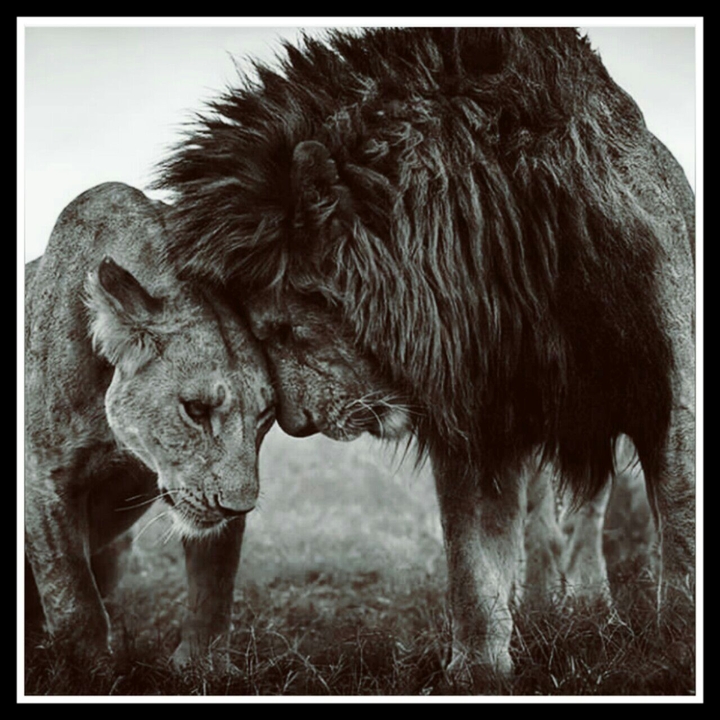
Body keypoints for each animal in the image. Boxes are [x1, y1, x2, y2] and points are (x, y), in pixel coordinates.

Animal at [25, 182, 276, 665]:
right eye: (195, 409)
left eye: (265, 415)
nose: (239, 507)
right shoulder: (44, 475)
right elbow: (73, 599)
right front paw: (87, 670)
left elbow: (214, 586)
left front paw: (201, 666)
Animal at [156, 28, 695, 679]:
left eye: (280, 330)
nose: (297, 424)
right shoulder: (477, 418)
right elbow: (472, 556)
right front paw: (479, 670)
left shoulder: (668, 387)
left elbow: (681, 526)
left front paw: (674, 651)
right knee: (543, 521)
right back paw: (545, 607)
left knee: (587, 514)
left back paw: (593, 610)